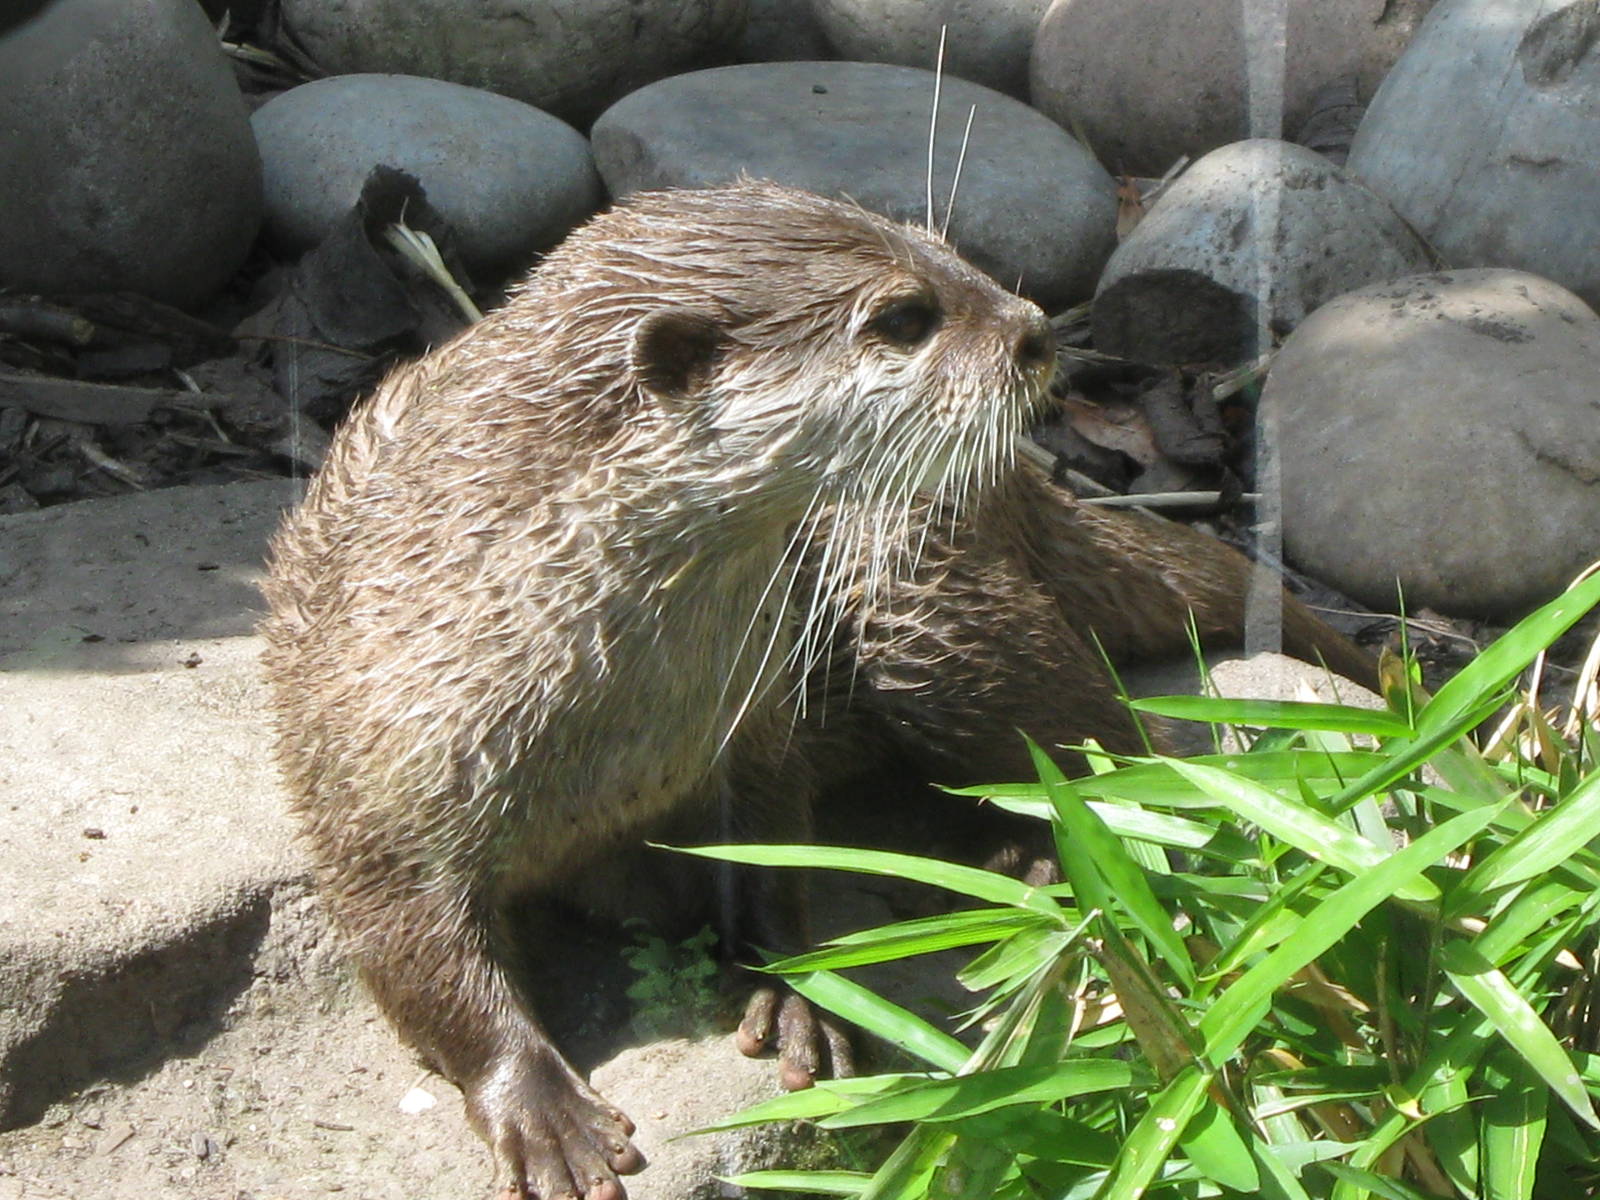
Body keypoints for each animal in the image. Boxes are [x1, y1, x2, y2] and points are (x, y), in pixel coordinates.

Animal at [262, 180, 1370, 1200]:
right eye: (904, 318)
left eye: (945, 247)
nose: (1034, 330)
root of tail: (1022, 487)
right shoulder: (372, 774)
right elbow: (420, 959)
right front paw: (541, 1109)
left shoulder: (753, 727)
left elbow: (775, 853)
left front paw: (800, 997)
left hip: (914, 613)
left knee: (1118, 736)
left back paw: (1038, 857)